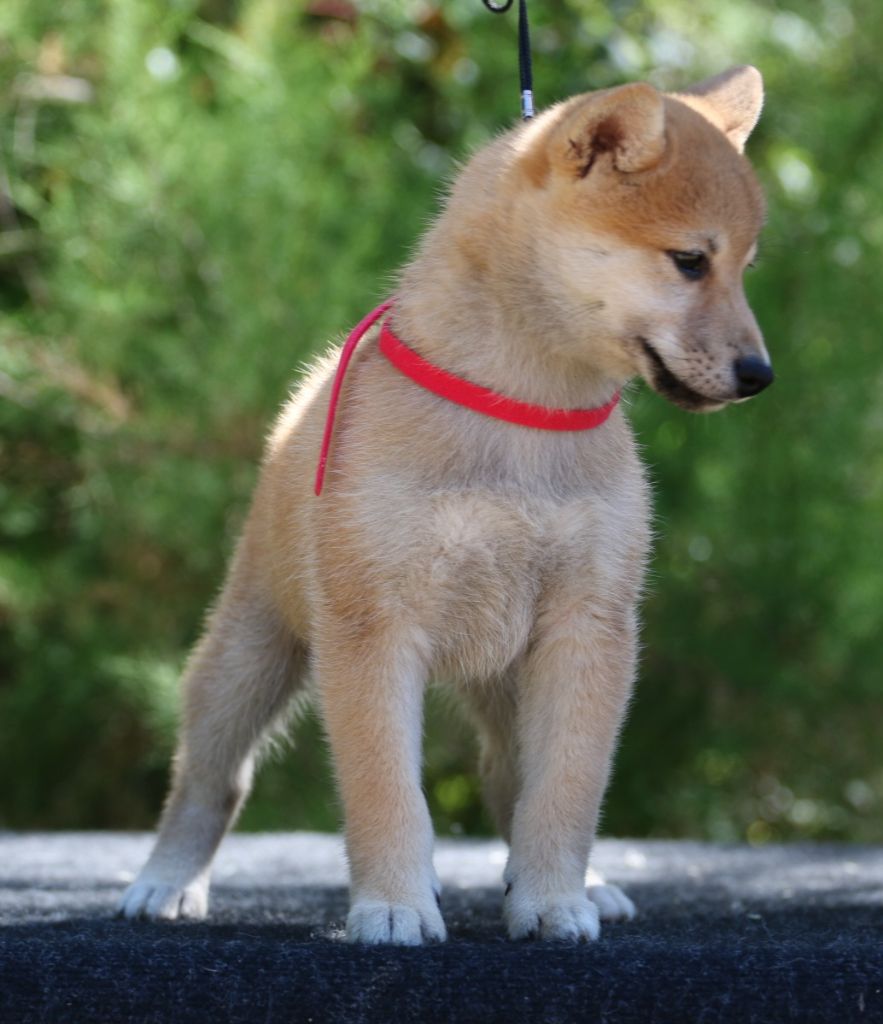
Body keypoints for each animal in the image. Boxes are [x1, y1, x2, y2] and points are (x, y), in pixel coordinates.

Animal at [119, 65, 770, 944]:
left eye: (745, 266)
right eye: (690, 261)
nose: (759, 373)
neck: (521, 413)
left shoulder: (588, 626)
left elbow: (567, 790)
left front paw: (553, 898)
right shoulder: (371, 628)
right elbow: (385, 790)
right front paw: (395, 903)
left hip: (505, 682)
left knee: (507, 777)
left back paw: (583, 881)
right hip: (247, 656)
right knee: (209, 778)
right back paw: (165, 880)